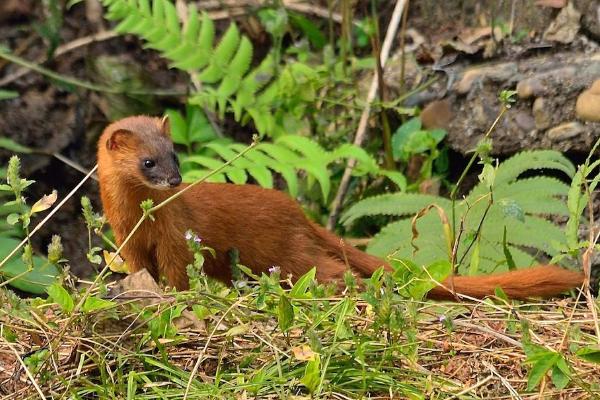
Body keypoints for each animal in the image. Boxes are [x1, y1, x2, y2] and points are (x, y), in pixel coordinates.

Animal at [96, 115, 584, 300]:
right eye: (148, 161)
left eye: (175, 155)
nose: (175, 181)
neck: (139, 220)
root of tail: (299, 213)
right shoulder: (127, 242)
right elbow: (139, 267)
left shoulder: (175, 236)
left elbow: (177, 271)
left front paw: (174, 295)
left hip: (287, 253)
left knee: (333, 269)